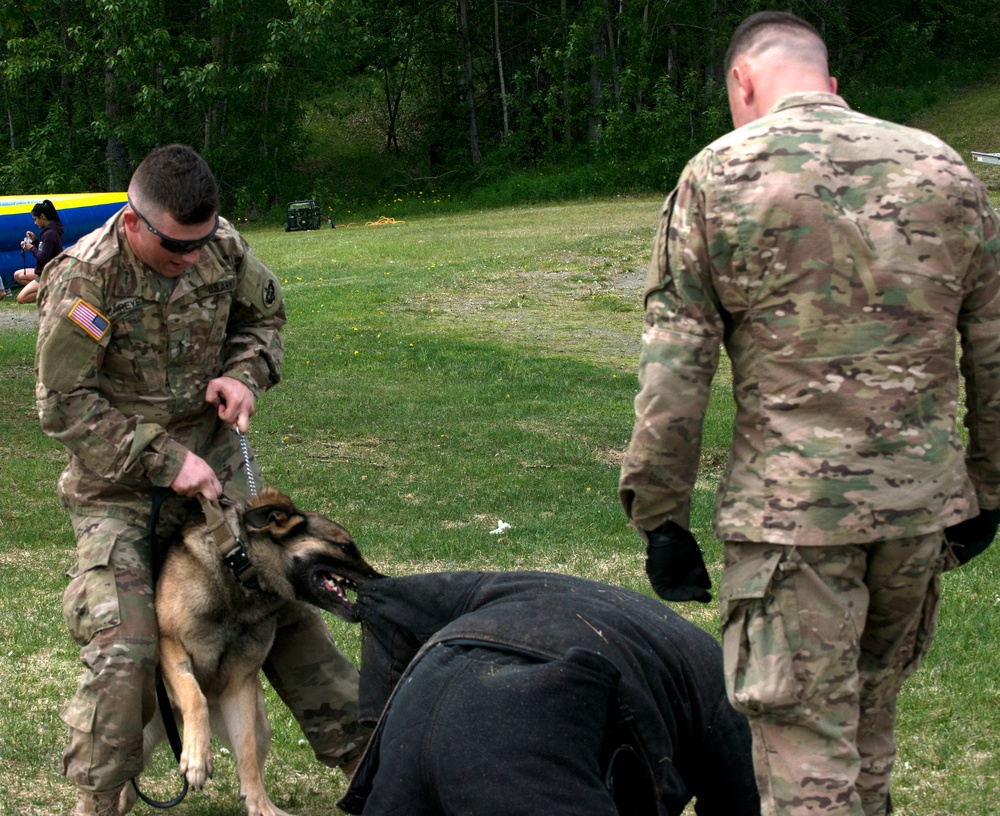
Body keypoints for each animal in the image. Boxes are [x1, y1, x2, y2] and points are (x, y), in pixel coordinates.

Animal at [121, 484, 378, 816]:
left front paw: (258, 803)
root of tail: (171, 724)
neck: (238, 572)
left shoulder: (239, 685)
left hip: (261, 728)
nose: (382, 581)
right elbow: (195, 696)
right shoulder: (169, 643)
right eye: (346, 547)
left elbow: (247, 754)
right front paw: (197, 757)